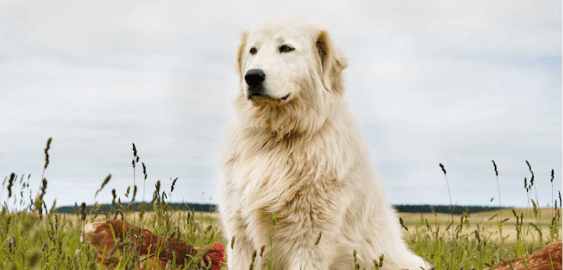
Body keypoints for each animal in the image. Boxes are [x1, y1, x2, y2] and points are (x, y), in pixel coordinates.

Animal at [218, 15, 430, 270]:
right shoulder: (240, 237)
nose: (252, 76)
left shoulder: (311, 241)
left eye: (286, 48)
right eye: (253, 50)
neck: (278, 138)